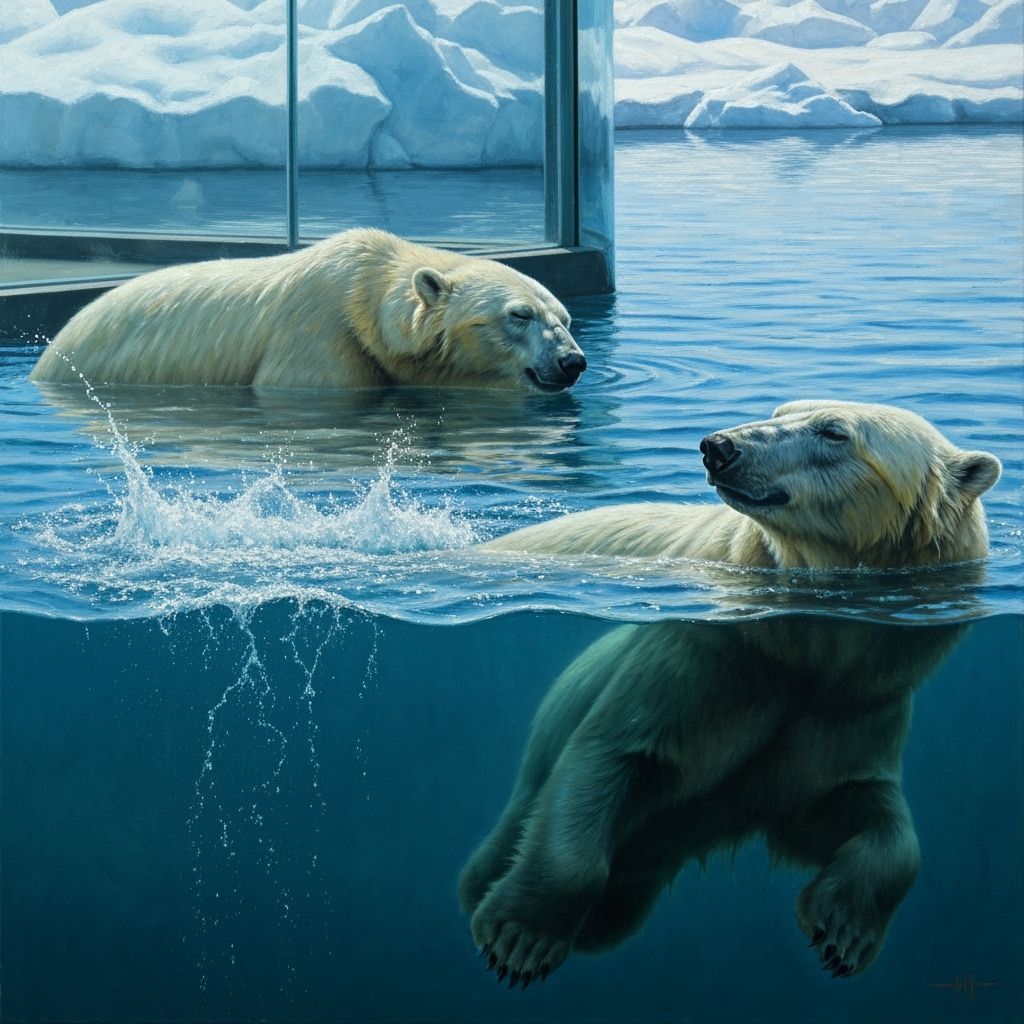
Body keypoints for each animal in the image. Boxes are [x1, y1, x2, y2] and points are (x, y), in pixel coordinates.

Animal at [459, 400, 1001, 987]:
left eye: (834, 432)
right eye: (781, 409)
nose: (719, 447)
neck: (798, 651)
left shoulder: (852, 704)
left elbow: (854, 807)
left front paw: (842, 930)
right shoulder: (706, 662)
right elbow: (613, 755)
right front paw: (520, 938)